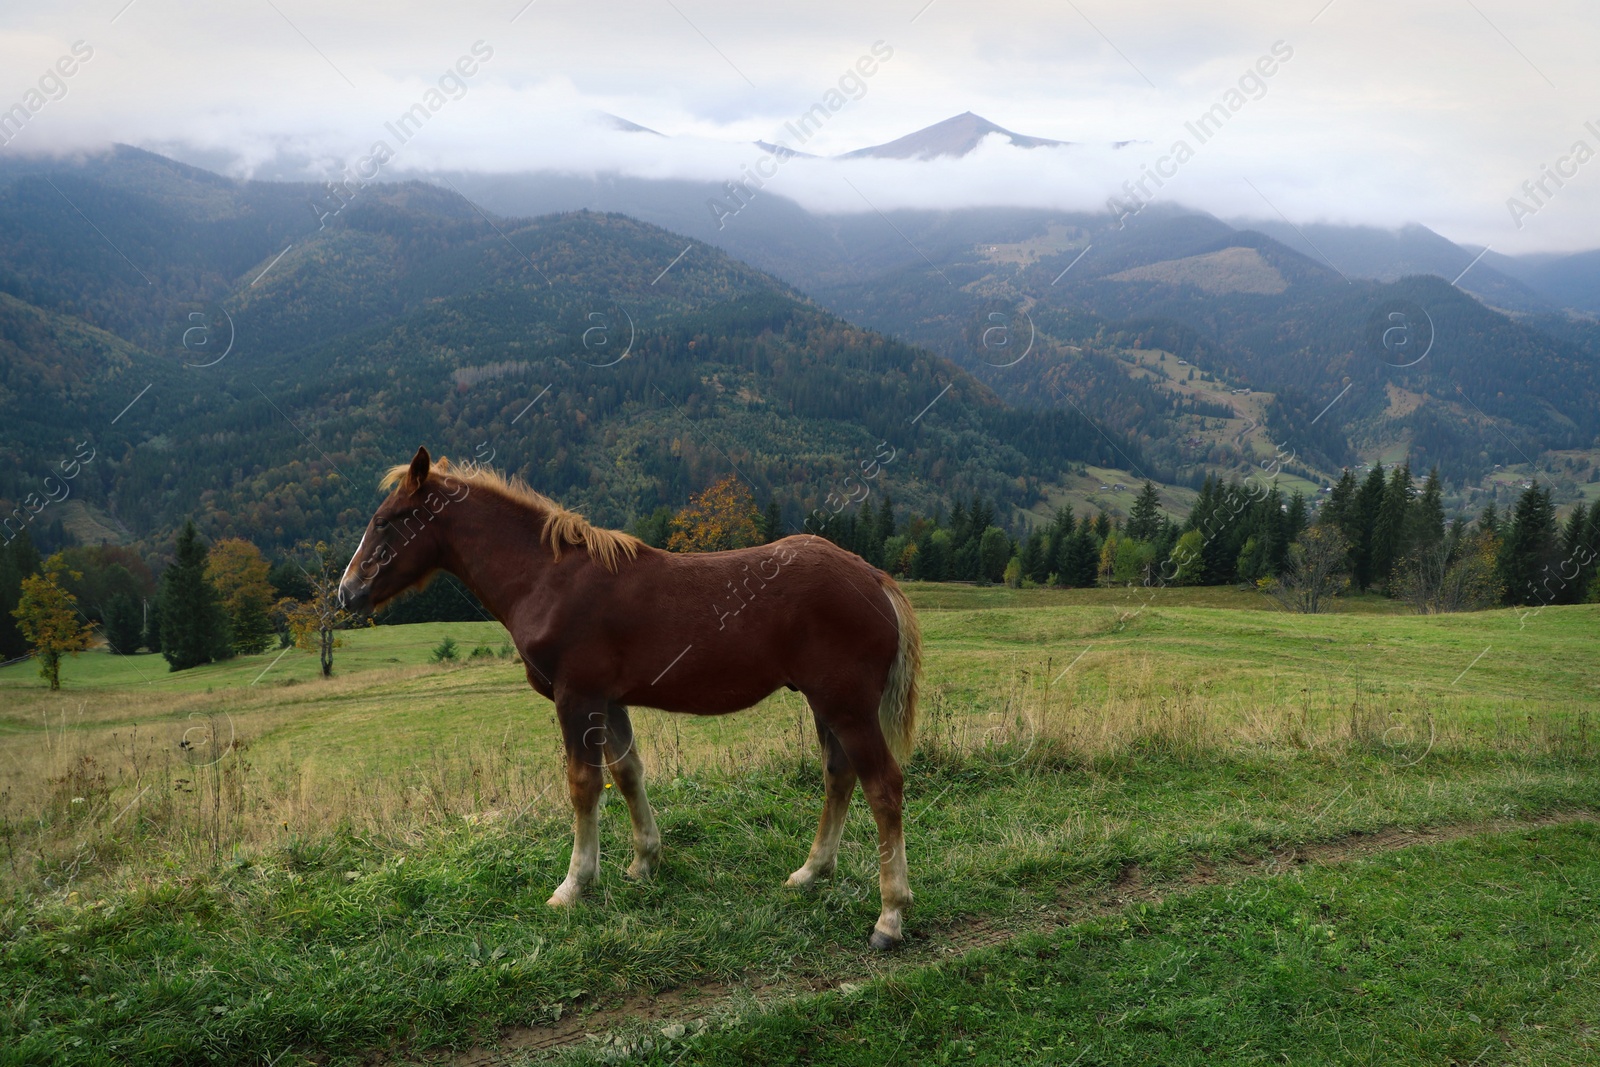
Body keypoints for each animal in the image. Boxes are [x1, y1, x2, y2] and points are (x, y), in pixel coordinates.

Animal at [344, 447, 928, 947]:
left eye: (389, 519)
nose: (348, 592)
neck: (547, 579)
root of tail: (873, 577)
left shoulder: (577, 697)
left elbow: (583, 785)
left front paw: (574, 885)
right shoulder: (609, 700)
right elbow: (626, 773)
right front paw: (645, 861)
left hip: (847, 705)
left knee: (883, 786)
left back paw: (890, 916)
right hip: (825, 703)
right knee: (839, 775)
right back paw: (811, 871)